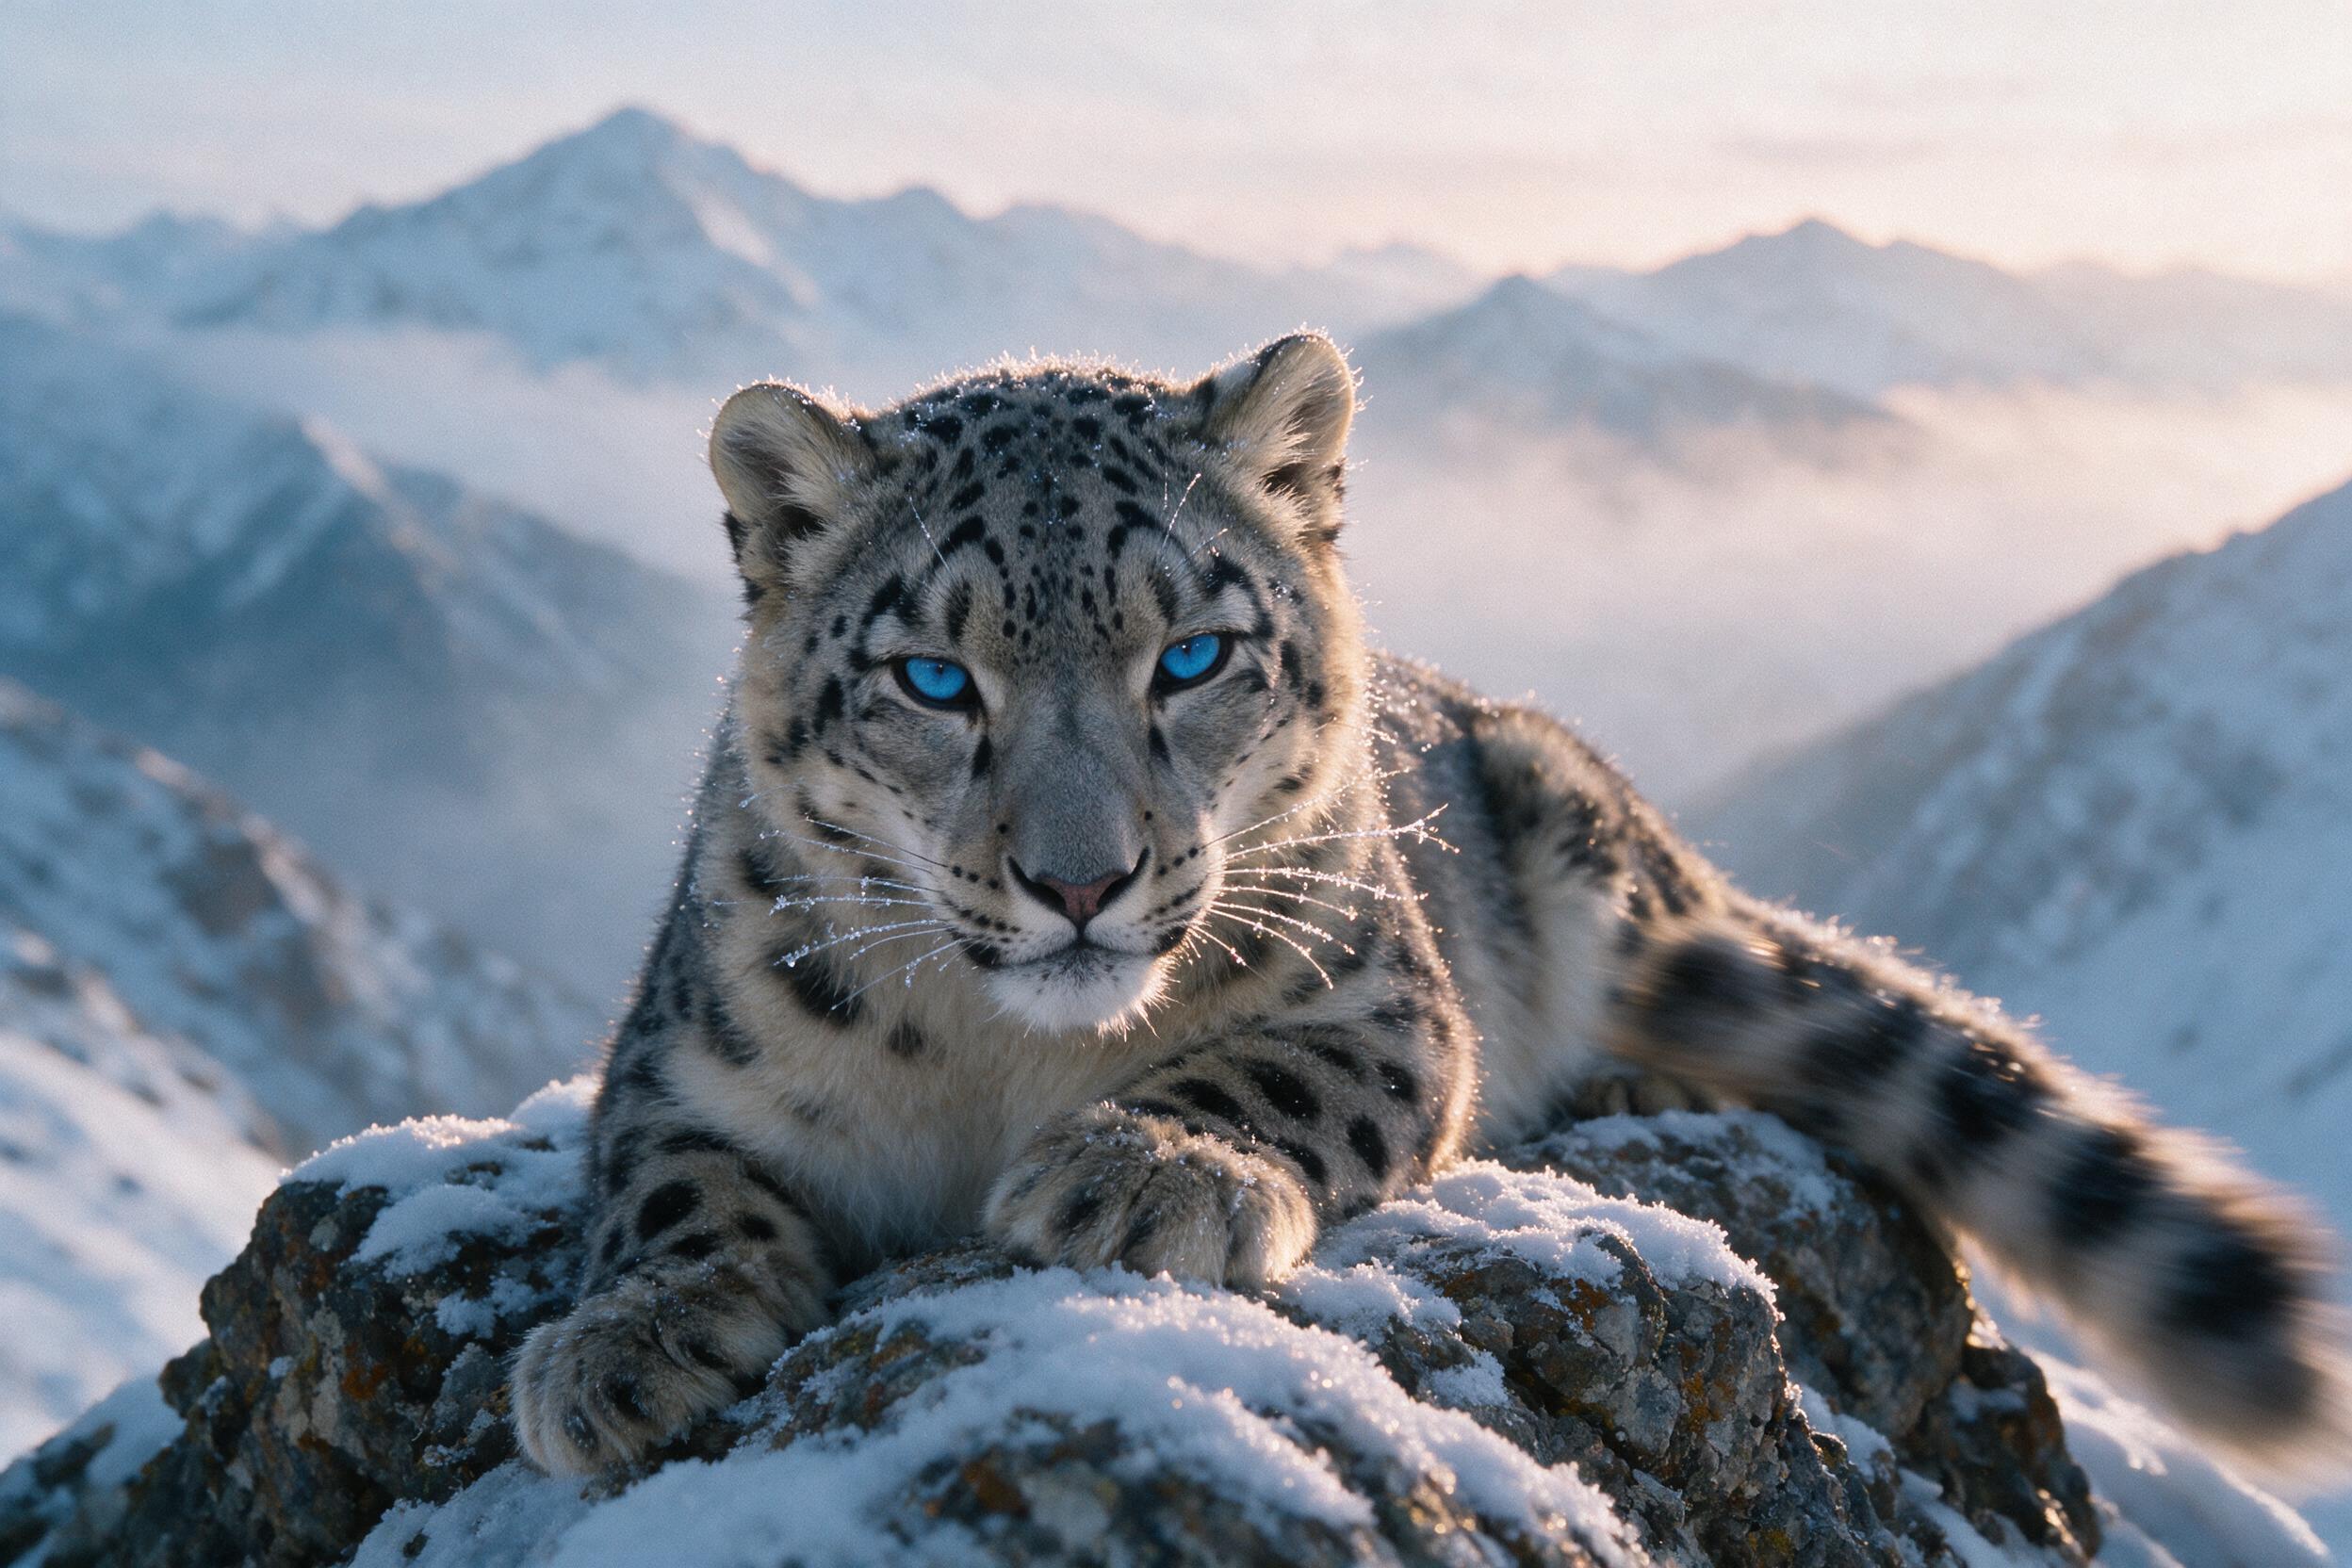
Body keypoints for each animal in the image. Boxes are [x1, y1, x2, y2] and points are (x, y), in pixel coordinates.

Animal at [511, 332, 2349, 1482]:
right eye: (932, 676)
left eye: (1192, 653)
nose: (1081, 879)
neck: (997, 1065)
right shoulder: (682, 1054)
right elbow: (670, 1188)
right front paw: (620, 1344)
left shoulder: (1381, 995)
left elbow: (1272, 1069)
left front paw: (1140, 1170)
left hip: (1583, 850)